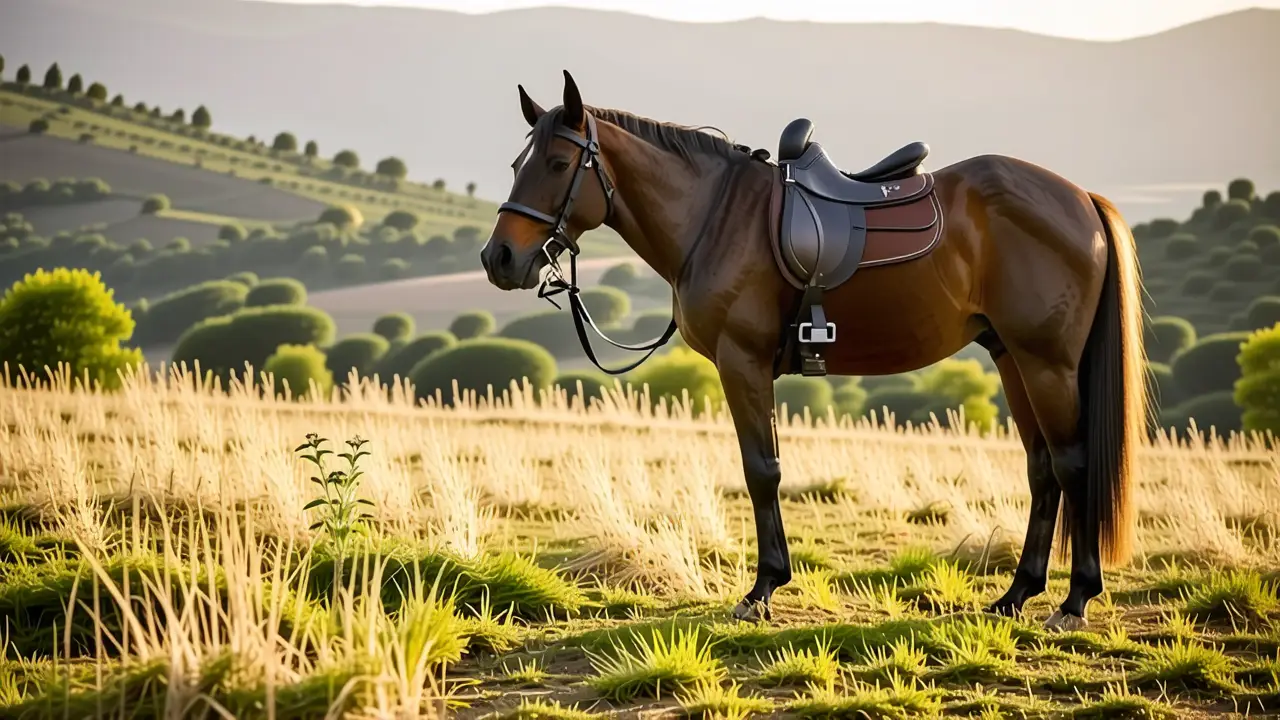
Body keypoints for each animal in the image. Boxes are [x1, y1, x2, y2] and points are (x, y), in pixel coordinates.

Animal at [479, 70, 1148, 631]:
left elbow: (761, 470)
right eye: (516, 162)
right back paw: (1015, 594)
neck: (716, 217)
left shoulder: (742, 362)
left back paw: (1075, 600)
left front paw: (762, 589)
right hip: (1012, 358)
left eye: (558, 162)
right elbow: (765, 468)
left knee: (1072, 464)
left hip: (1047, 362)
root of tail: (1080, 199)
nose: (499, 258)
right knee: (1042, 470)